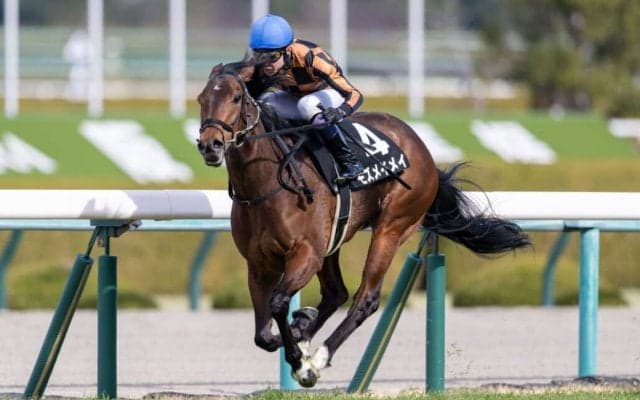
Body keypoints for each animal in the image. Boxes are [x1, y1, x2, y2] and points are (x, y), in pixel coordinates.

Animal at [196, 61, 530, 387]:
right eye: (201, 99)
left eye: (235, 98)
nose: (210, 145)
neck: (267, 185)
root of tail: (423, 149)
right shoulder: (259, 263)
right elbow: (263, 335)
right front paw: (299, 330)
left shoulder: (306, 253)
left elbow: (278, 304)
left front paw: (301, 360)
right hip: (333, 242)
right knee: (336, 293)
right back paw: (306, 329)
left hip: (391, 227)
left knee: (365, 299)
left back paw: (317, 359)